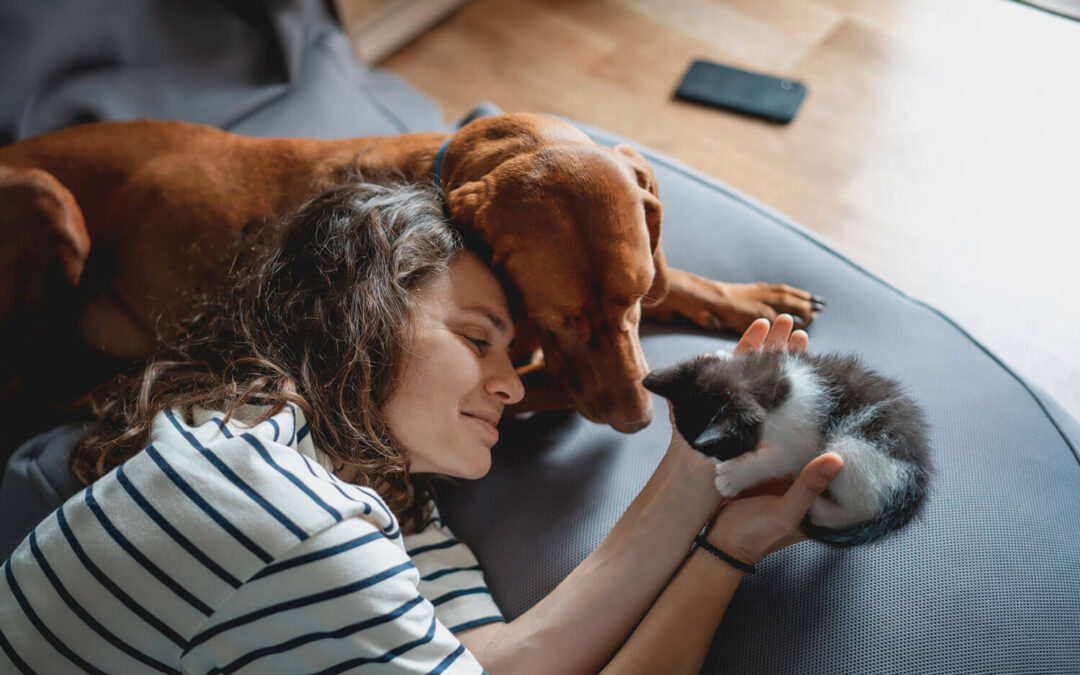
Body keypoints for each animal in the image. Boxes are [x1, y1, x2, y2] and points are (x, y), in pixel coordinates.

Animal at [0, 111, 812, 436]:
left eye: (636, 299)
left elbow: (683, 278)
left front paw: (751, 295)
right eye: (561, 319)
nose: (639, 421)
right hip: (50, 200)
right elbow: (540, 386)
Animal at [643, 349, 933, 544]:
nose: (706, 460)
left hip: (854, 448)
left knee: (862, 507)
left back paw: (820, 508)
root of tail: (917, 485)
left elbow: (779, 459)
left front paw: (733, 476)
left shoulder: (804, 442)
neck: (772, 385)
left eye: (716, 450)